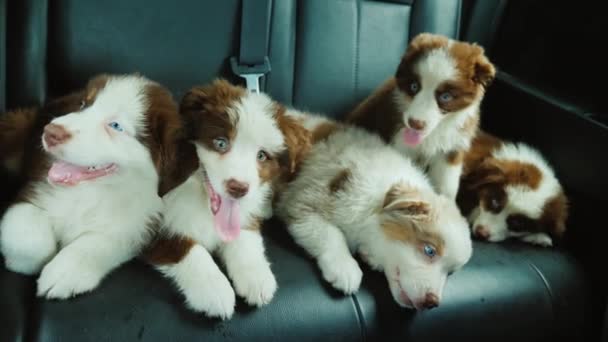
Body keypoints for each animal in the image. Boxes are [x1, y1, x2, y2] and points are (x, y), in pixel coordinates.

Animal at [0, 73, 195, 298]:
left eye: (115, 125)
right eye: (84, 104)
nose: (50, 132)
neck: (94, 191)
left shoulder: (139, 224)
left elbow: (102, 242)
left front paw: (64, 273)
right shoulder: (34, 191)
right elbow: (29, 240)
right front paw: (22, 264)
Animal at [145, 79, 312, 320]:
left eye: (262, 155)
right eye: (221, 143)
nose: (238, 188)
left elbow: (244, 237)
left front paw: (256, 276)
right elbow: (186, 247)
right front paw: (215, 290)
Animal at [344, 33, 496, 199]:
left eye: (446, 97)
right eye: (414, 86)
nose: (415, 123)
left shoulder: (451, 148)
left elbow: (447, 185)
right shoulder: (401, 143)